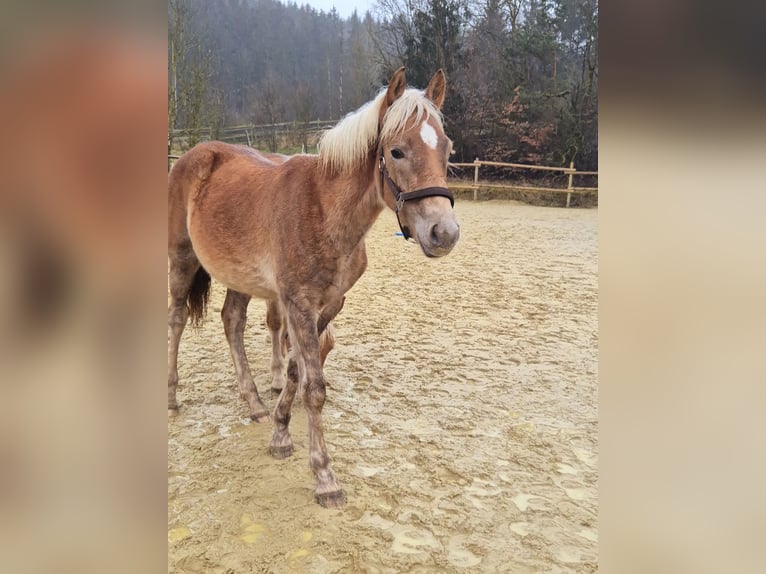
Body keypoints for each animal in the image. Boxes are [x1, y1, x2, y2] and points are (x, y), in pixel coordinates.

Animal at [169, 68, 462, 508]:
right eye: (396, 151)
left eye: (446, 148)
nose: (444, 233)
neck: (325, 210)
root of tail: (193, 155)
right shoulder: (299, 305)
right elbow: (315, 388)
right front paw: (325, 477)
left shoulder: (327, 305)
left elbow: (296, 371)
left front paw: (279, 434)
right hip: (181, 260)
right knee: (177, 321)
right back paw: (171, 398)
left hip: (240, 276)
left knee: (232, 322)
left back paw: (254, 402)